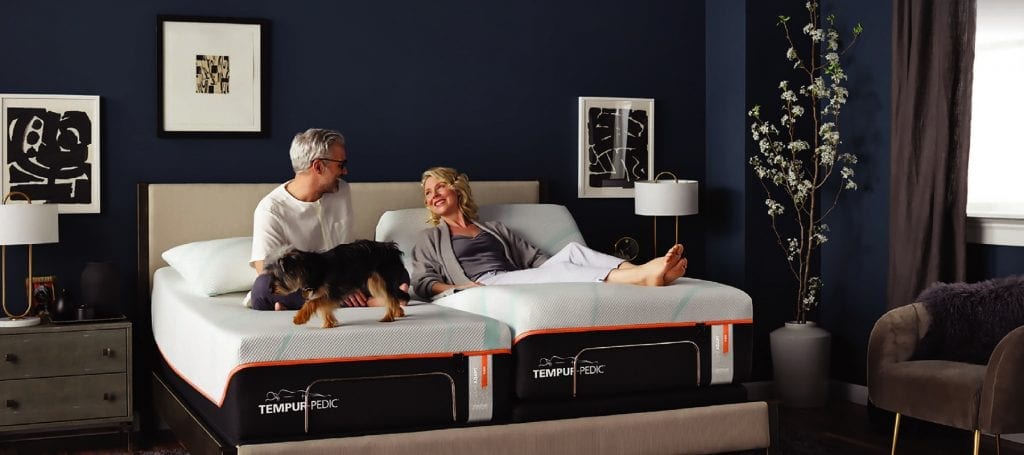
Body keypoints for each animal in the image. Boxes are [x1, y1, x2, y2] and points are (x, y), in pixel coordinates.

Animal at [266, 241, 409, 327]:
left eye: (277, 276)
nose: (270, 290)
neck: (310, 269)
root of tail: (391, 248)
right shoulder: (323, 292)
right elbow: (324, 308)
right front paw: (329, 323)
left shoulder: (331, 293)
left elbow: (312, 302)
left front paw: (299, 318)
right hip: (374, 282)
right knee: (392, 297)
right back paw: (398, 312)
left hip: (381, 280)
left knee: (390, 298)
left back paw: (388, 317)